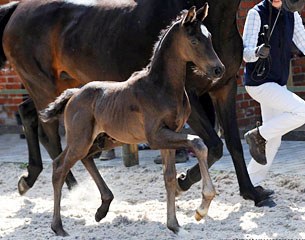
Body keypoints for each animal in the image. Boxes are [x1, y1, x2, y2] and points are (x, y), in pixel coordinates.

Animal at [0, 0, 302, 206]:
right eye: (194, 39)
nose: (296, 4)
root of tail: (17, 8)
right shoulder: (191, 97)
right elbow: (214, 145)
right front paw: (183, 182)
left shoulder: (224, 88)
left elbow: (234, 145)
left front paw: (253, 193)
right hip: (43, 85)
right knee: (51, 134)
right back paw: (71, 191)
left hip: (64, 87)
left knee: (30, 115)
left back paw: (32, 179)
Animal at [39, 5, 223, 236]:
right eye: (194, 41)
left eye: (210, 37)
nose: (218, 69)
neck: (160, 87)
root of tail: (74, 94)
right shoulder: (156, 137)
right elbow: (198, 143)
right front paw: (202, 208)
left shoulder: (169, 135)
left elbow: (169, 177)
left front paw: (174, 225)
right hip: (80, 140)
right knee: (59, 167)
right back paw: (58, 227)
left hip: (103, 140)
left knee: (85, 159)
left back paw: (102, 208)